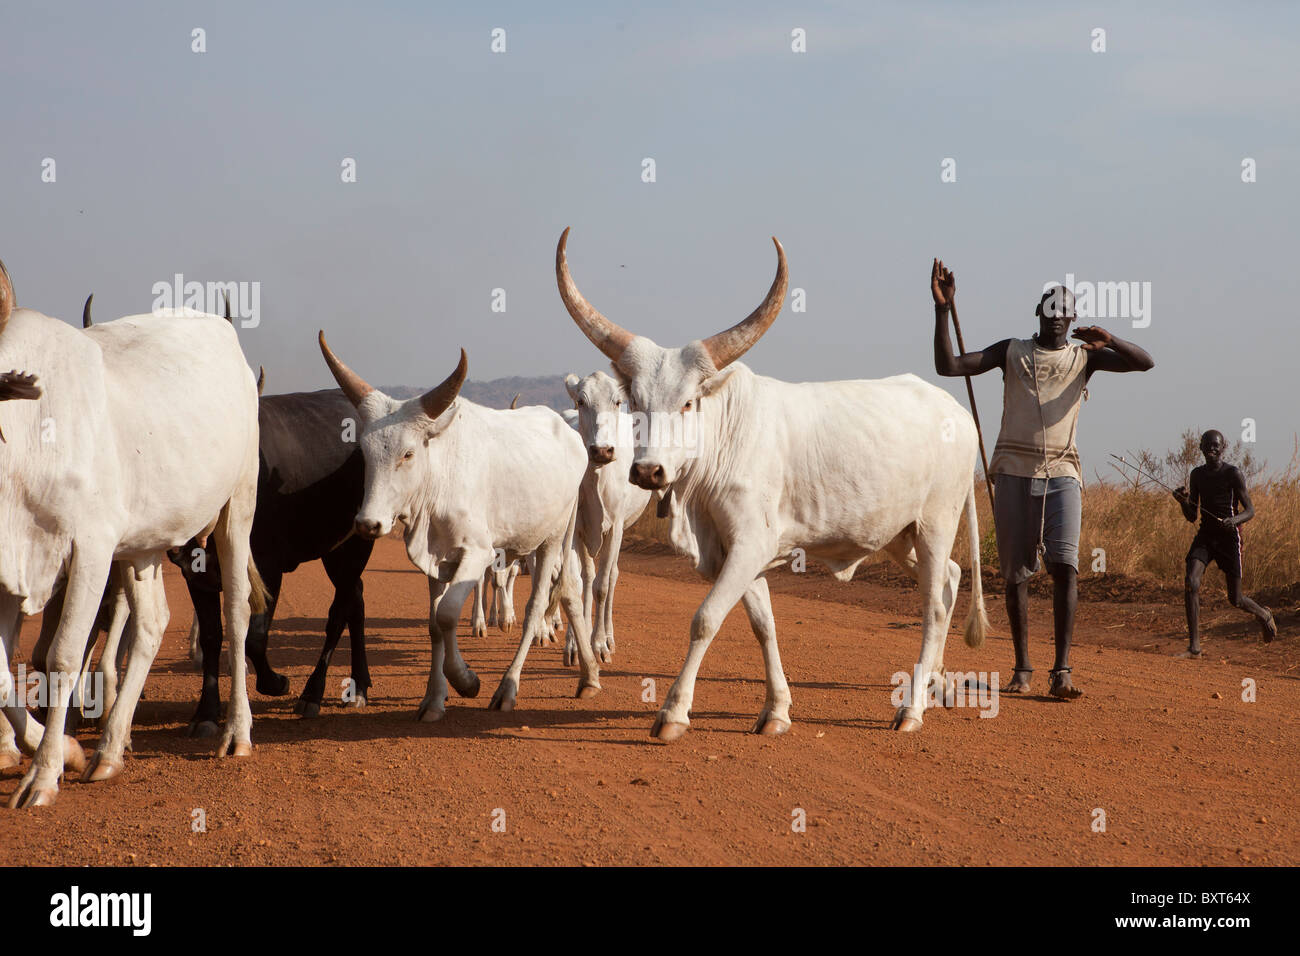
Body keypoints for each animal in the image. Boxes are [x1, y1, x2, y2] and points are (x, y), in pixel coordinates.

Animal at [317, 335, 595, 717]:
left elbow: (449, 615)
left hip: (553, 538)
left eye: (408, 454)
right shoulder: (436, 560)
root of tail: (571, 436)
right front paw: (434, 700)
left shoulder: (477, 554)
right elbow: (435, 624)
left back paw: (508, 688)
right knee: (568, 590)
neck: (438, 476)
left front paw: (466, 681)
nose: (368, 523)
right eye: (365, 452)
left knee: (537, 605)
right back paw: (589, 677)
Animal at [564, 371, 655, 665]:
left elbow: (602, 585)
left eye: (617, 401)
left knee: (612, 576)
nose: (602, 450)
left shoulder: (615, 527)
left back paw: (608, 637)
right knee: (587, 576)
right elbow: (578, 581)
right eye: (581, 401)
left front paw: (599, 644)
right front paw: (574, 645)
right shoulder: (576, 529)